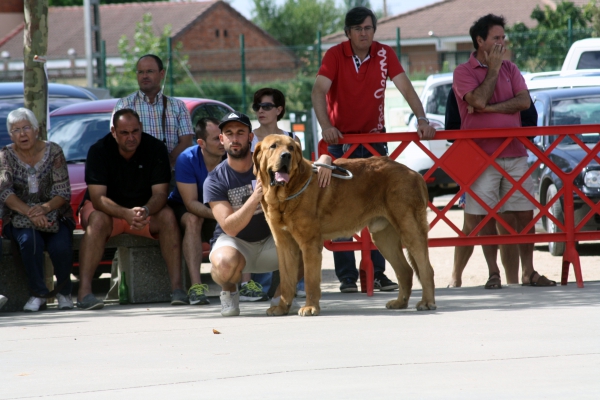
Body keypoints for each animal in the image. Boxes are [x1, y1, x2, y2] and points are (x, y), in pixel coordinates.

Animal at [253, 134, 436, 316]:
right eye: (273, 146)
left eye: (291, 148)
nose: (286, 156)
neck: (284, 195)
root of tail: (414, 173)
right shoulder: (284, 244)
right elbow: (286, 280)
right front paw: (282, 308)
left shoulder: (309, 243)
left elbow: (310, 280)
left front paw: (310, 307)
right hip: (383, 238)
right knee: (405, 270)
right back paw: (400, 302)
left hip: (410, 229)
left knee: (426, 268)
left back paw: (427, 302)